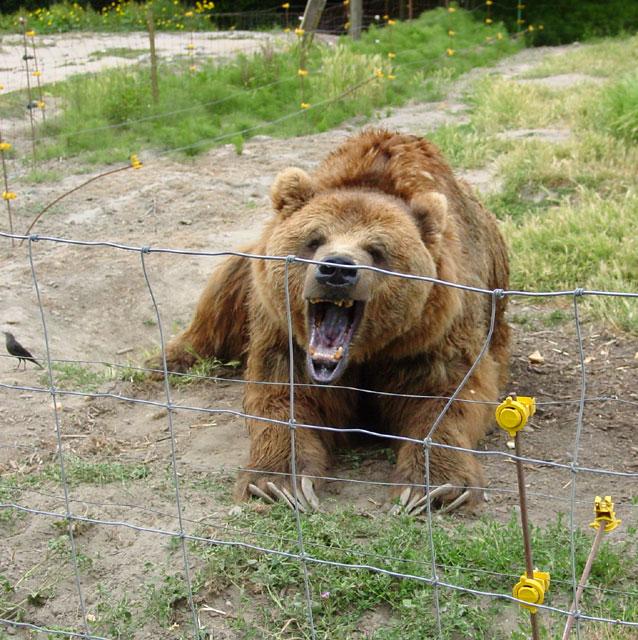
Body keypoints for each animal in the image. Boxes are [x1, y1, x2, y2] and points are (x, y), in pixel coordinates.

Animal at [153, 129, 510, 515]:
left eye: (377, 250)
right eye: (314, 239)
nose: (337, 269)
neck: (365, 354)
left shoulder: (432, 333)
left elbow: (447, 395)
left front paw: (432, 488)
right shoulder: (285, 335)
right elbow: (284, 398)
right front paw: (279, 483)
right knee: (223, 289)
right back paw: (170, 358)